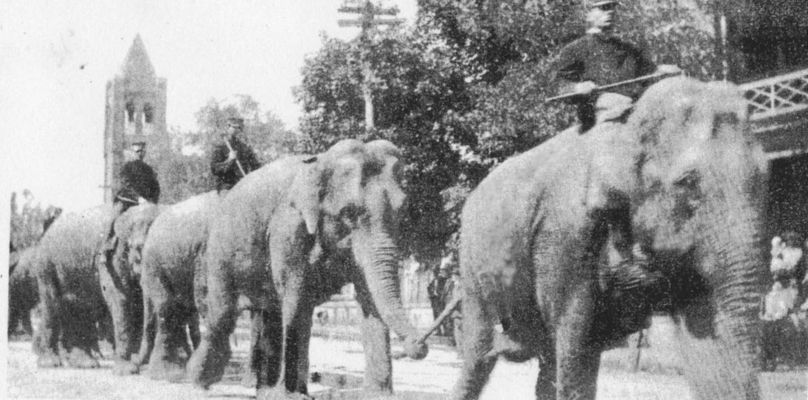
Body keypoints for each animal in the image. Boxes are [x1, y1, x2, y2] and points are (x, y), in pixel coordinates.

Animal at [187, 139, 430, 398]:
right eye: (349, 212)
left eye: (402, 209)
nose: (419, 345)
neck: (321, 163)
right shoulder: (288, 229)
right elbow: (297, 298)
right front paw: (293, 395)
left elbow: (369, 299)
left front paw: (378, 395)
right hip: (219, 254)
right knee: (222, 315)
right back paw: (198, 381)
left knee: (270, 313)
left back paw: (263, 390)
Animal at [454, 77, 772, 400]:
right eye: (687, 182)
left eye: (767, 174)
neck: (627, 121)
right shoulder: (564, 234)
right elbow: (575, 343)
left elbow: (707, 334)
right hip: (471, 269)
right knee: (479, 355)